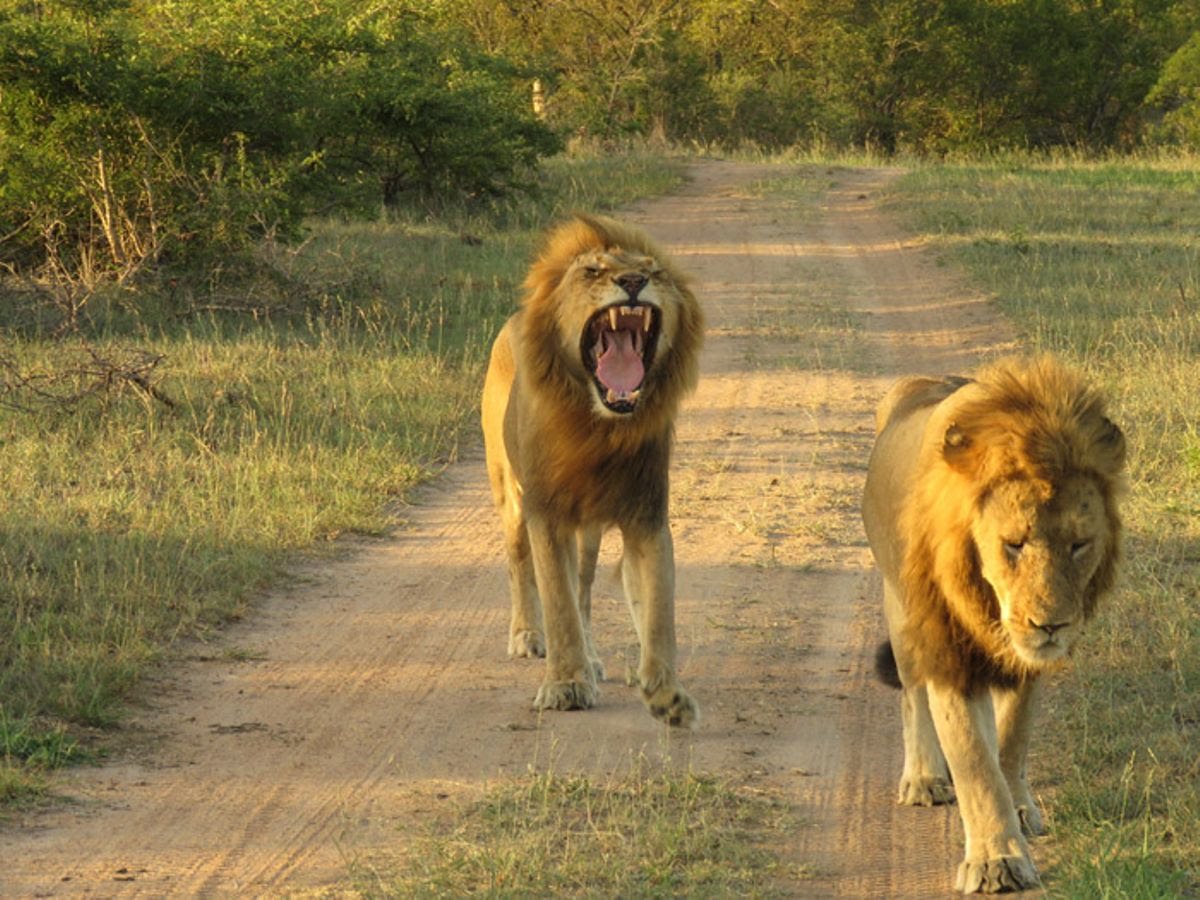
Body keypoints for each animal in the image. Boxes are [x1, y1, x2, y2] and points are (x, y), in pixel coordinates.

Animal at [481, 214, 704, 726]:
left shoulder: (646, 517)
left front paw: (667, 693)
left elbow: (657, 610)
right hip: (510, 496)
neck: (598, 430)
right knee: (520, 566)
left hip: (590, 532)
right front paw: (565, 684)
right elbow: (557, 603)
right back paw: (527, 636)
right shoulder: (547, 515)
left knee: (582, 590)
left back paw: (593, 657)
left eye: (654, 271)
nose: (634, 281)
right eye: (593, 271)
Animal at [862, 356, 1125, 894]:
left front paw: (1018, 812)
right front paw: (995, 861)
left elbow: (1010, 740)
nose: (1051, 625)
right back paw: (924, 777)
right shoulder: (950, 654)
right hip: (903, 614)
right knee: (912, 696)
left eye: (1078, 544)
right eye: (1014, 544)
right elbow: (975, 764)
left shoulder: (1023, 661)